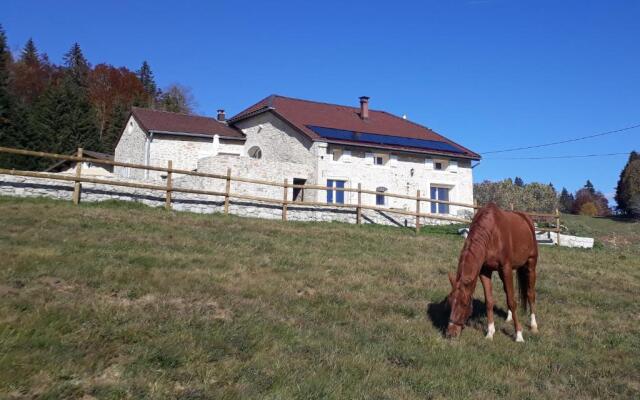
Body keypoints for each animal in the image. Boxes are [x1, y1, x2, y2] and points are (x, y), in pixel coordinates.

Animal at [444, 203, 540, 340]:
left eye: (464, 304)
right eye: (449, 302)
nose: (450, 333)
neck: (493, 233)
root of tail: (526, 219)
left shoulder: (506, 268)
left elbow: (512, 301)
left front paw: (519, 335)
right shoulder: (485, 271)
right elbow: (489, 301)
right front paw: (490, 333)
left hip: (531, 265)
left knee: (530, 294)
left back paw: (533, 325)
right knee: (507, 292)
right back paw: (509, 318)